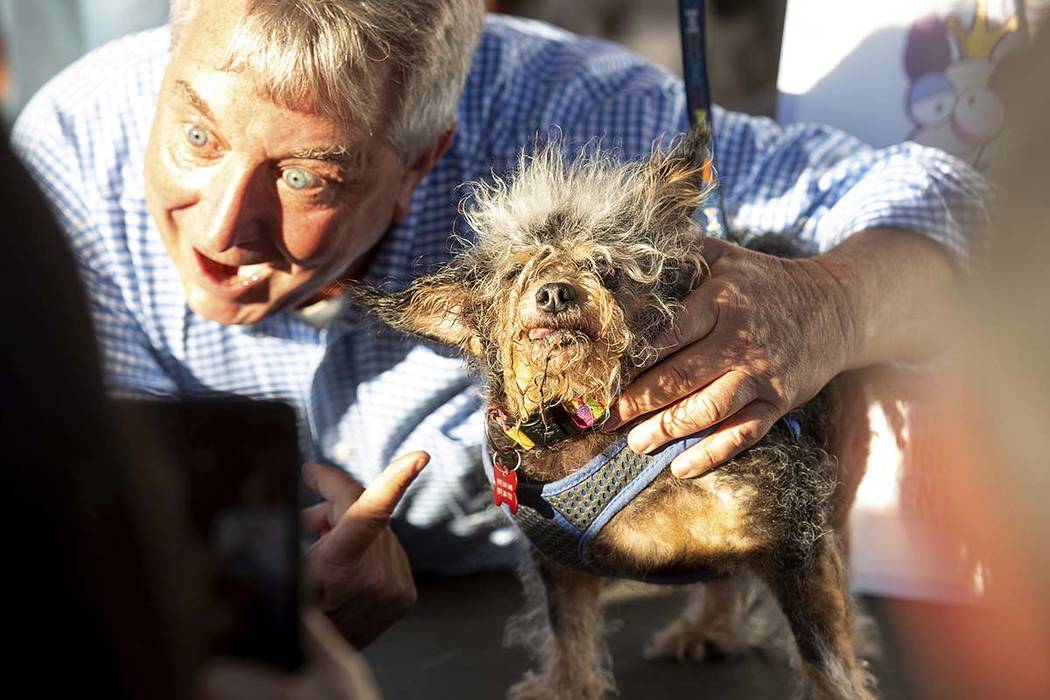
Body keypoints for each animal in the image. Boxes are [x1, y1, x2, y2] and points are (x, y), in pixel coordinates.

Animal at [350, 128, 869, 696]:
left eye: (603, 265)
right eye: (516, 271)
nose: (555, 293)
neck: (580, 417)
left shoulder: (792, 532)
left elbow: (827, 663)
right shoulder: (558, 565)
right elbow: (569, 638)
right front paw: (567, 685)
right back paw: (707, 628)